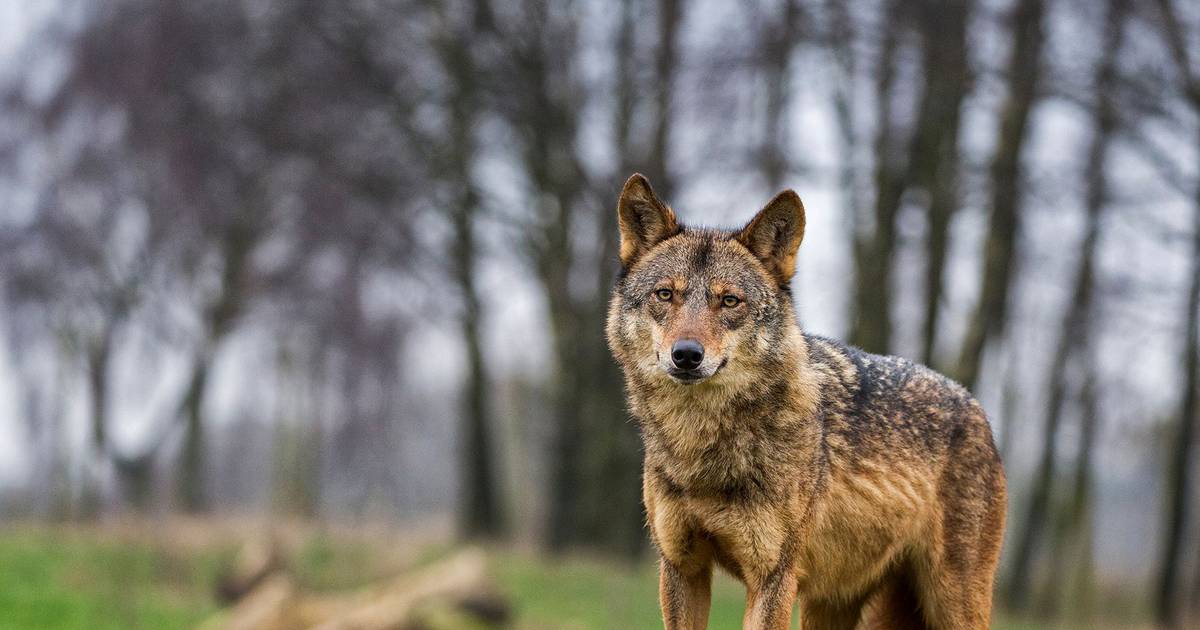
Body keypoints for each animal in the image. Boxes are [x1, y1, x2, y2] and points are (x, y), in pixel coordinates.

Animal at [604, 172, 1008, 628]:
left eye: (729, 301)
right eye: (665, 295)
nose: (687, 355)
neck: (701, 441)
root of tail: (976, 407)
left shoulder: (774, 578)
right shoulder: (681, 569)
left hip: (952, 604)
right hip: (833, 605)